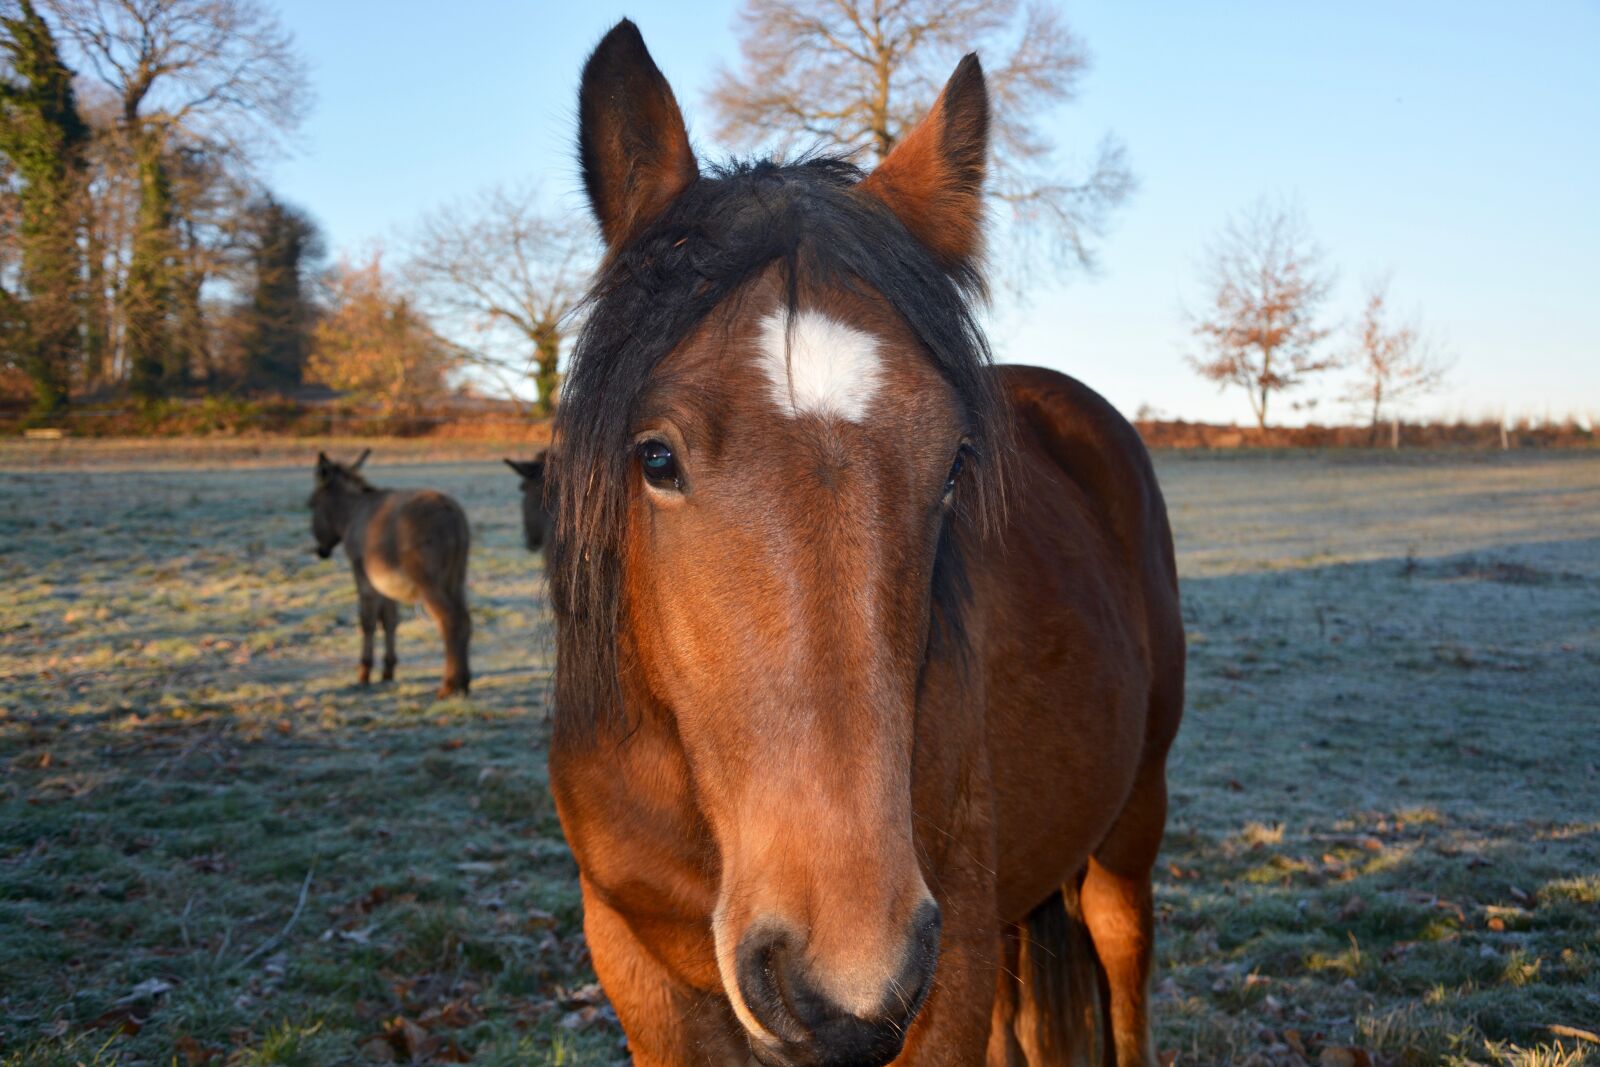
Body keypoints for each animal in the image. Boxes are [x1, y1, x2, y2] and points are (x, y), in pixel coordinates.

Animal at [308, 450, 473, 698]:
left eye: (311, 504)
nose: (321, 552)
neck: (352, 514)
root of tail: (452, 512)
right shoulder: (385, 584)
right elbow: (389, 621)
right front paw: (388, 671)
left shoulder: (363, 576)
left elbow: (367, 621)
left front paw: (364, 673)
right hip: (456, 579)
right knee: (464, 619)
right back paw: (464, 683)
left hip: (430, 583)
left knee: (449, 620)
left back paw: (449, 685)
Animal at [545, 21, 1184, 1067]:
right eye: (656, 457)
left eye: (955, 464)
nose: (845, 978)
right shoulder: (636, 967)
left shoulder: (944, 974)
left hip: (1127, 837)